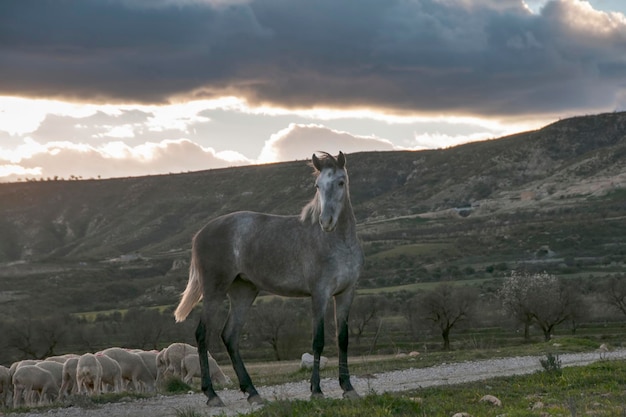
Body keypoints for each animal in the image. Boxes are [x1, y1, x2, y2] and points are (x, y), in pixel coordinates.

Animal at [173, 151, 364, 404]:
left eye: (341, 182)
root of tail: (200, 234)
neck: (338, 243)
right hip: (215, 290)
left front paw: (348, 388)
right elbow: (318, 340)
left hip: (244, 292)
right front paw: (316, 390)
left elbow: (343, 339)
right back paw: (212, 395)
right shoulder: (319, 294)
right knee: (203, 334)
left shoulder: (345, 294)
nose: (326, 222)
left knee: (230, 336)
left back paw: (252, 392)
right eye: (318, 185)